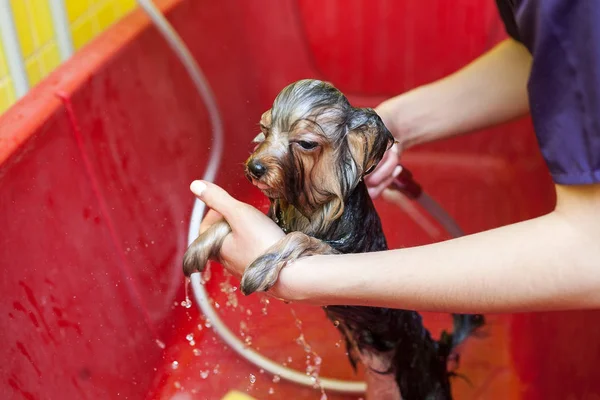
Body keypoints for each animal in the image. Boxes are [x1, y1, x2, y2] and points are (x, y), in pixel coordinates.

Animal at [185, 79, 486, 398]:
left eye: (306, 143)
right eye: (265, 129)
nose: (255, 168)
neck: (309, 205)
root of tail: (435, 348)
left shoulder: (340, 252)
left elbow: (301, 238)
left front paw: (262, 265)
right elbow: (228, 221)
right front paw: (198, 247)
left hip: (422, 381)